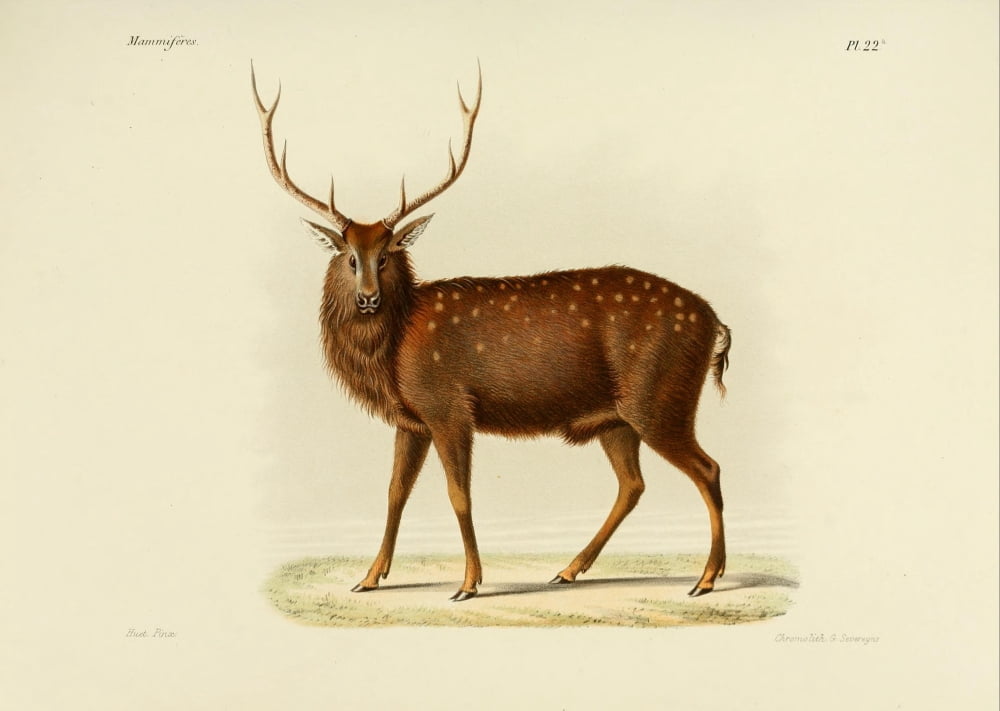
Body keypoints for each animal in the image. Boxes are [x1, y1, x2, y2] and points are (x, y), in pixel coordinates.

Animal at [252, 63, 732, 601]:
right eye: (349, 255)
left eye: (389, 252)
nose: (368, 298)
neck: (394, 351)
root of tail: (716, 322)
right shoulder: (411, 420)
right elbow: (395, 492)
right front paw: (369, 578)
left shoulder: (449, 405)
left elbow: (458, 493)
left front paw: (469, 583)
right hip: (617, 419)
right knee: (633, 484)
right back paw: (569, 569)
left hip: (660, 399)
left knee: (708, 469)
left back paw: (706, 579)